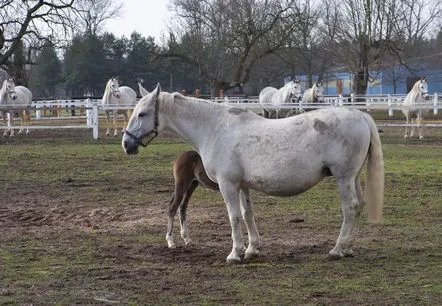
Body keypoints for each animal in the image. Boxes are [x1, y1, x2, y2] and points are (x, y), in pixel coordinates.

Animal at [122, 83, 386, 262]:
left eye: (142, 114)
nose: (126, 144)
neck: (215, 129)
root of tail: (360, 114)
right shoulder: (242, 185)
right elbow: (247, 215)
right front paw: (252, 249)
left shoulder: (228, 184)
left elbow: (233, 217)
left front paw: (235, 253)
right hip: (353, 178)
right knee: (359, 206)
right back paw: (348, 248)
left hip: (343, 178)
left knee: (350, 208)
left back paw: (338, 249)